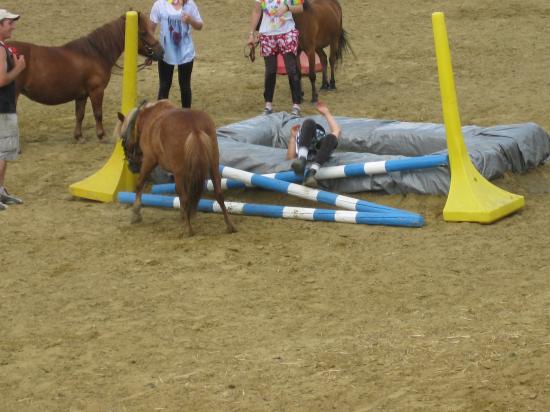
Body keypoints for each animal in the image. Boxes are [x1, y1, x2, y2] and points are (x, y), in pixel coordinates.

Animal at [8, 12, 164, 143]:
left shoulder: (81, 95)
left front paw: (79, 136)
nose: (161, 52)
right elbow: (98, 113)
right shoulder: (96, 91)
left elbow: (80, 115)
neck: (95, 53)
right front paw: (101, 135)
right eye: (143, 32)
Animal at [116, 98, 237, 237]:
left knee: (185, 197)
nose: (131, 166)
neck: (148, 118)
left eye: (123, 141)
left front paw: (136, 213)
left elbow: (140, 183)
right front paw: (184, 214)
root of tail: (194, 127)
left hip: (180, 172)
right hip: (213, 166)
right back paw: (229, 226)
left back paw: (188, 230)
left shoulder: (149, 160)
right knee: (218, 193)